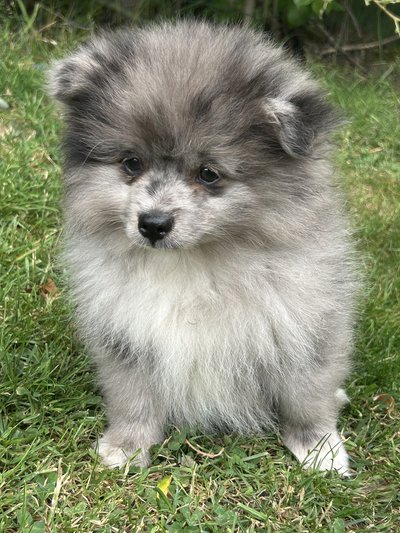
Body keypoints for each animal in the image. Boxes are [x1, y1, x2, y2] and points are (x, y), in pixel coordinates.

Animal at [49, 21, 357, 475]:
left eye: (209, 173)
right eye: (131, 163)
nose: (152, 224)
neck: (194, 262)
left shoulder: (302, 322)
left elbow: (306, 392)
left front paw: (320, 448)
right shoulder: (125, 333)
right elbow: (133, 395)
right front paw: (126, 445)